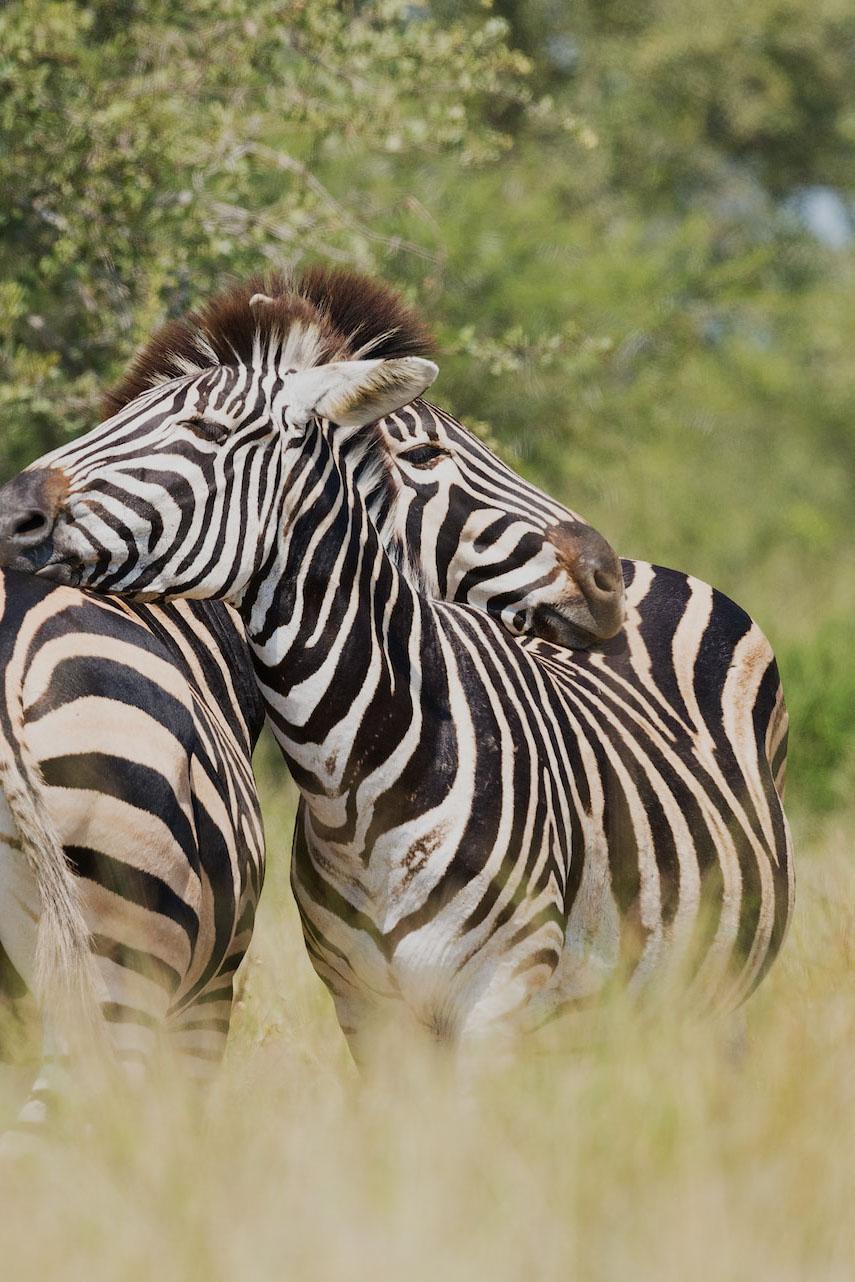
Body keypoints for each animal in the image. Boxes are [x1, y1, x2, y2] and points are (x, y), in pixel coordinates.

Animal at [0, 267, 794, 1051]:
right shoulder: (349, 1007)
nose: (607, 578)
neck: (361, 787)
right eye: (425, 455)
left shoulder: (490, 998)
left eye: (203, 429)